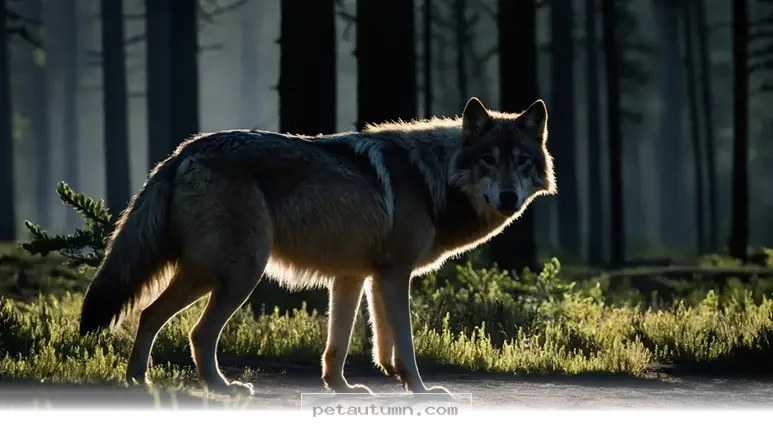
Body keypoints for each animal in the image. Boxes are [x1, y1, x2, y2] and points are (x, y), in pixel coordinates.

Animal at [78, 96, 556, 396]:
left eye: (521, 162)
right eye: (488, 160)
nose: (509, 197)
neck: (431, 181)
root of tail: (181, 152)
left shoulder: (356, 277)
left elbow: (344, 345)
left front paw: (346, 387)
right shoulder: (394, 276)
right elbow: (403, 343)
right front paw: (420, 389)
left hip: (208, 273)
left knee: (147, 314)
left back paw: (140, 382)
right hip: (239, 273)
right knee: (196, 331)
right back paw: (221, 387)